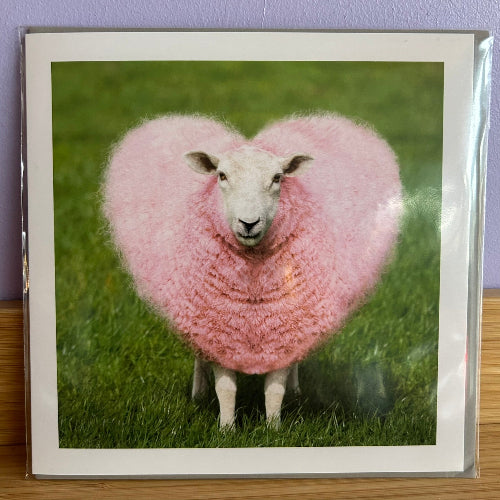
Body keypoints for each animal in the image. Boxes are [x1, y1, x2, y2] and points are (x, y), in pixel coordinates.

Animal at [104, 113, 402, 428]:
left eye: (277, 178)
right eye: (221, 175)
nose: (249, 223)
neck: (252, 289)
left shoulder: (283, 328)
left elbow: (275, 389)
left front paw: (273, 428)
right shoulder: (219, 330)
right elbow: (226, 388)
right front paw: (226, 428)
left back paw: (295, 389)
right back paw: (199, 392)